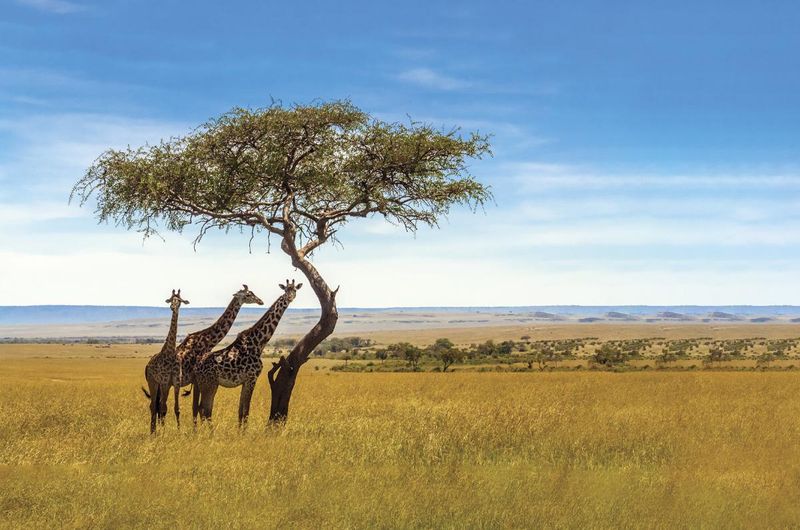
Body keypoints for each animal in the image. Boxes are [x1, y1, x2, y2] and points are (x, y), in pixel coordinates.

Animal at [141, 289, 189, 434]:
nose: (173, 307)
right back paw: (153, 432)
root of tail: (147, 366)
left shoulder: (175, 382)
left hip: (164, 386)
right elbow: (162, 407)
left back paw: (156, 429)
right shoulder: (163, 381)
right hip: (153, 382)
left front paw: (178, 431)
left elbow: (176, 408)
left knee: (160, 405)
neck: (170, 353)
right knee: (154, 405)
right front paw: (162, 432)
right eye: (170, 299)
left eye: (179, 301)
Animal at [171, 285, 264, 426]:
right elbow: (197, 407)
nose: (260, 301)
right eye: (248, 295)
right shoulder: (196, 379)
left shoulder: (197, 380)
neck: (207, 340)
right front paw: (197, 429)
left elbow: (199, 408)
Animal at [193, 280, 301, 426]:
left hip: (205, 384)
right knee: (205, 410)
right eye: (286, 290)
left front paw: (240, 430)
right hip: (209, 383)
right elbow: (246, 412)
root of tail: (196, 367)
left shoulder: (245, 381)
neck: (259, 343)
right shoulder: (252, 378)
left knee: (201, 409)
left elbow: (240, 411)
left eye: (294, 290)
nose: (289, 297)